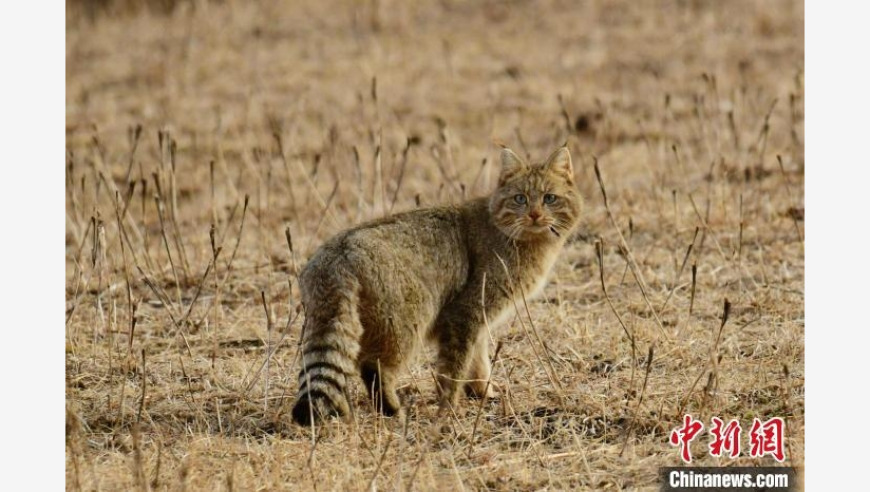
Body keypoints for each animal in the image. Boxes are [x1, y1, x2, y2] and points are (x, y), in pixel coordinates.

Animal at [290, 144, 584, 424]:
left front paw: (482, 391)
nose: (534, 214)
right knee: (373, 367)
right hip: (405, 322)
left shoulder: (478, 321)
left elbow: (478, 359)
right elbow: (454, 367)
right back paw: (392, 410)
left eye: (549, 198)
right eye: (520, 198)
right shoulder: (464, 314)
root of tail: (337, 252)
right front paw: (450, 407)